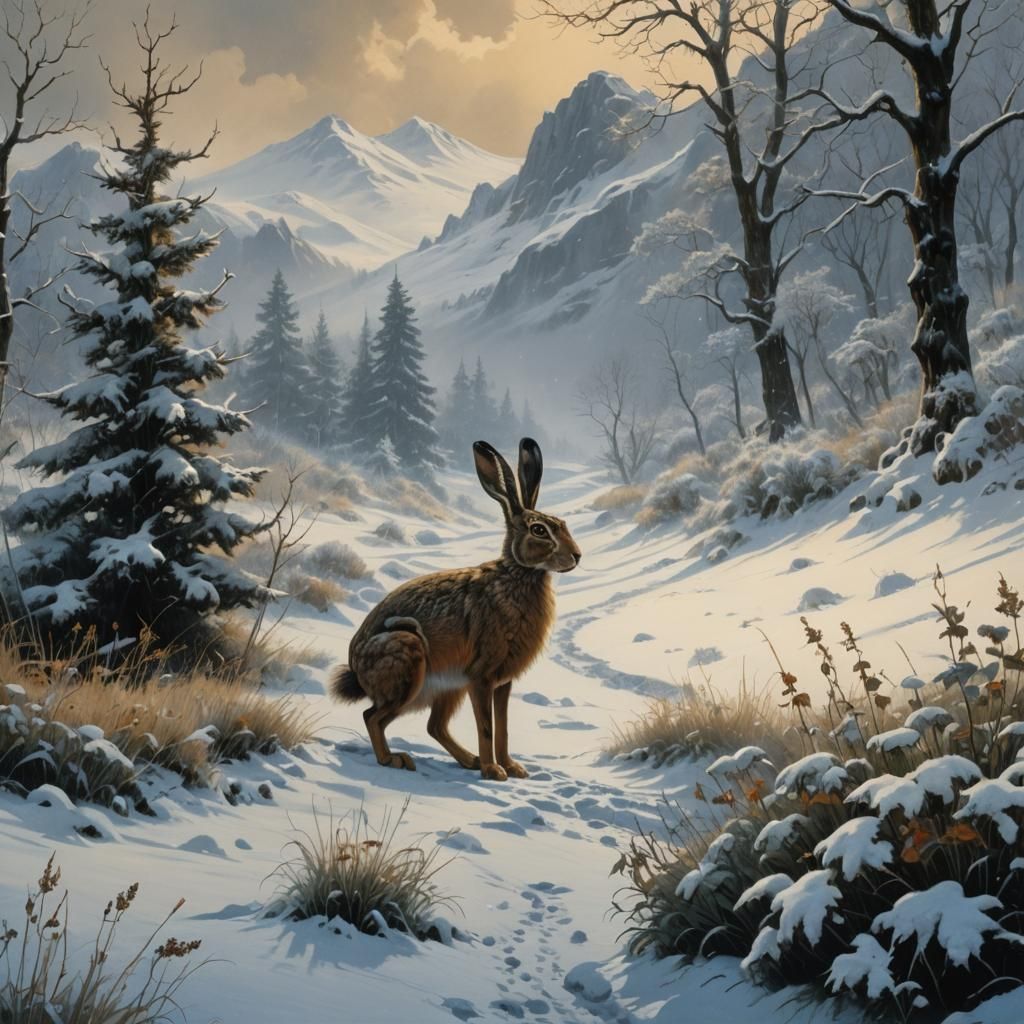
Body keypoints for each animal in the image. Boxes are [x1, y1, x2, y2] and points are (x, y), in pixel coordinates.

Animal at [330, 438, 581, 781]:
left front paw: (513, 768)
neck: (518, 573)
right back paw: (394, 760)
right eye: (540, 530)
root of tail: (356, 669)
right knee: (373, 716)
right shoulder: (481, 677)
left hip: (447, 686)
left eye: (563, 524)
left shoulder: (502, 682)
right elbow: (486, 726)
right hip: (408, 661)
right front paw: (494, 771)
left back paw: (468, 760)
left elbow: (503, 727)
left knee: (433, 726)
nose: (577, 556)